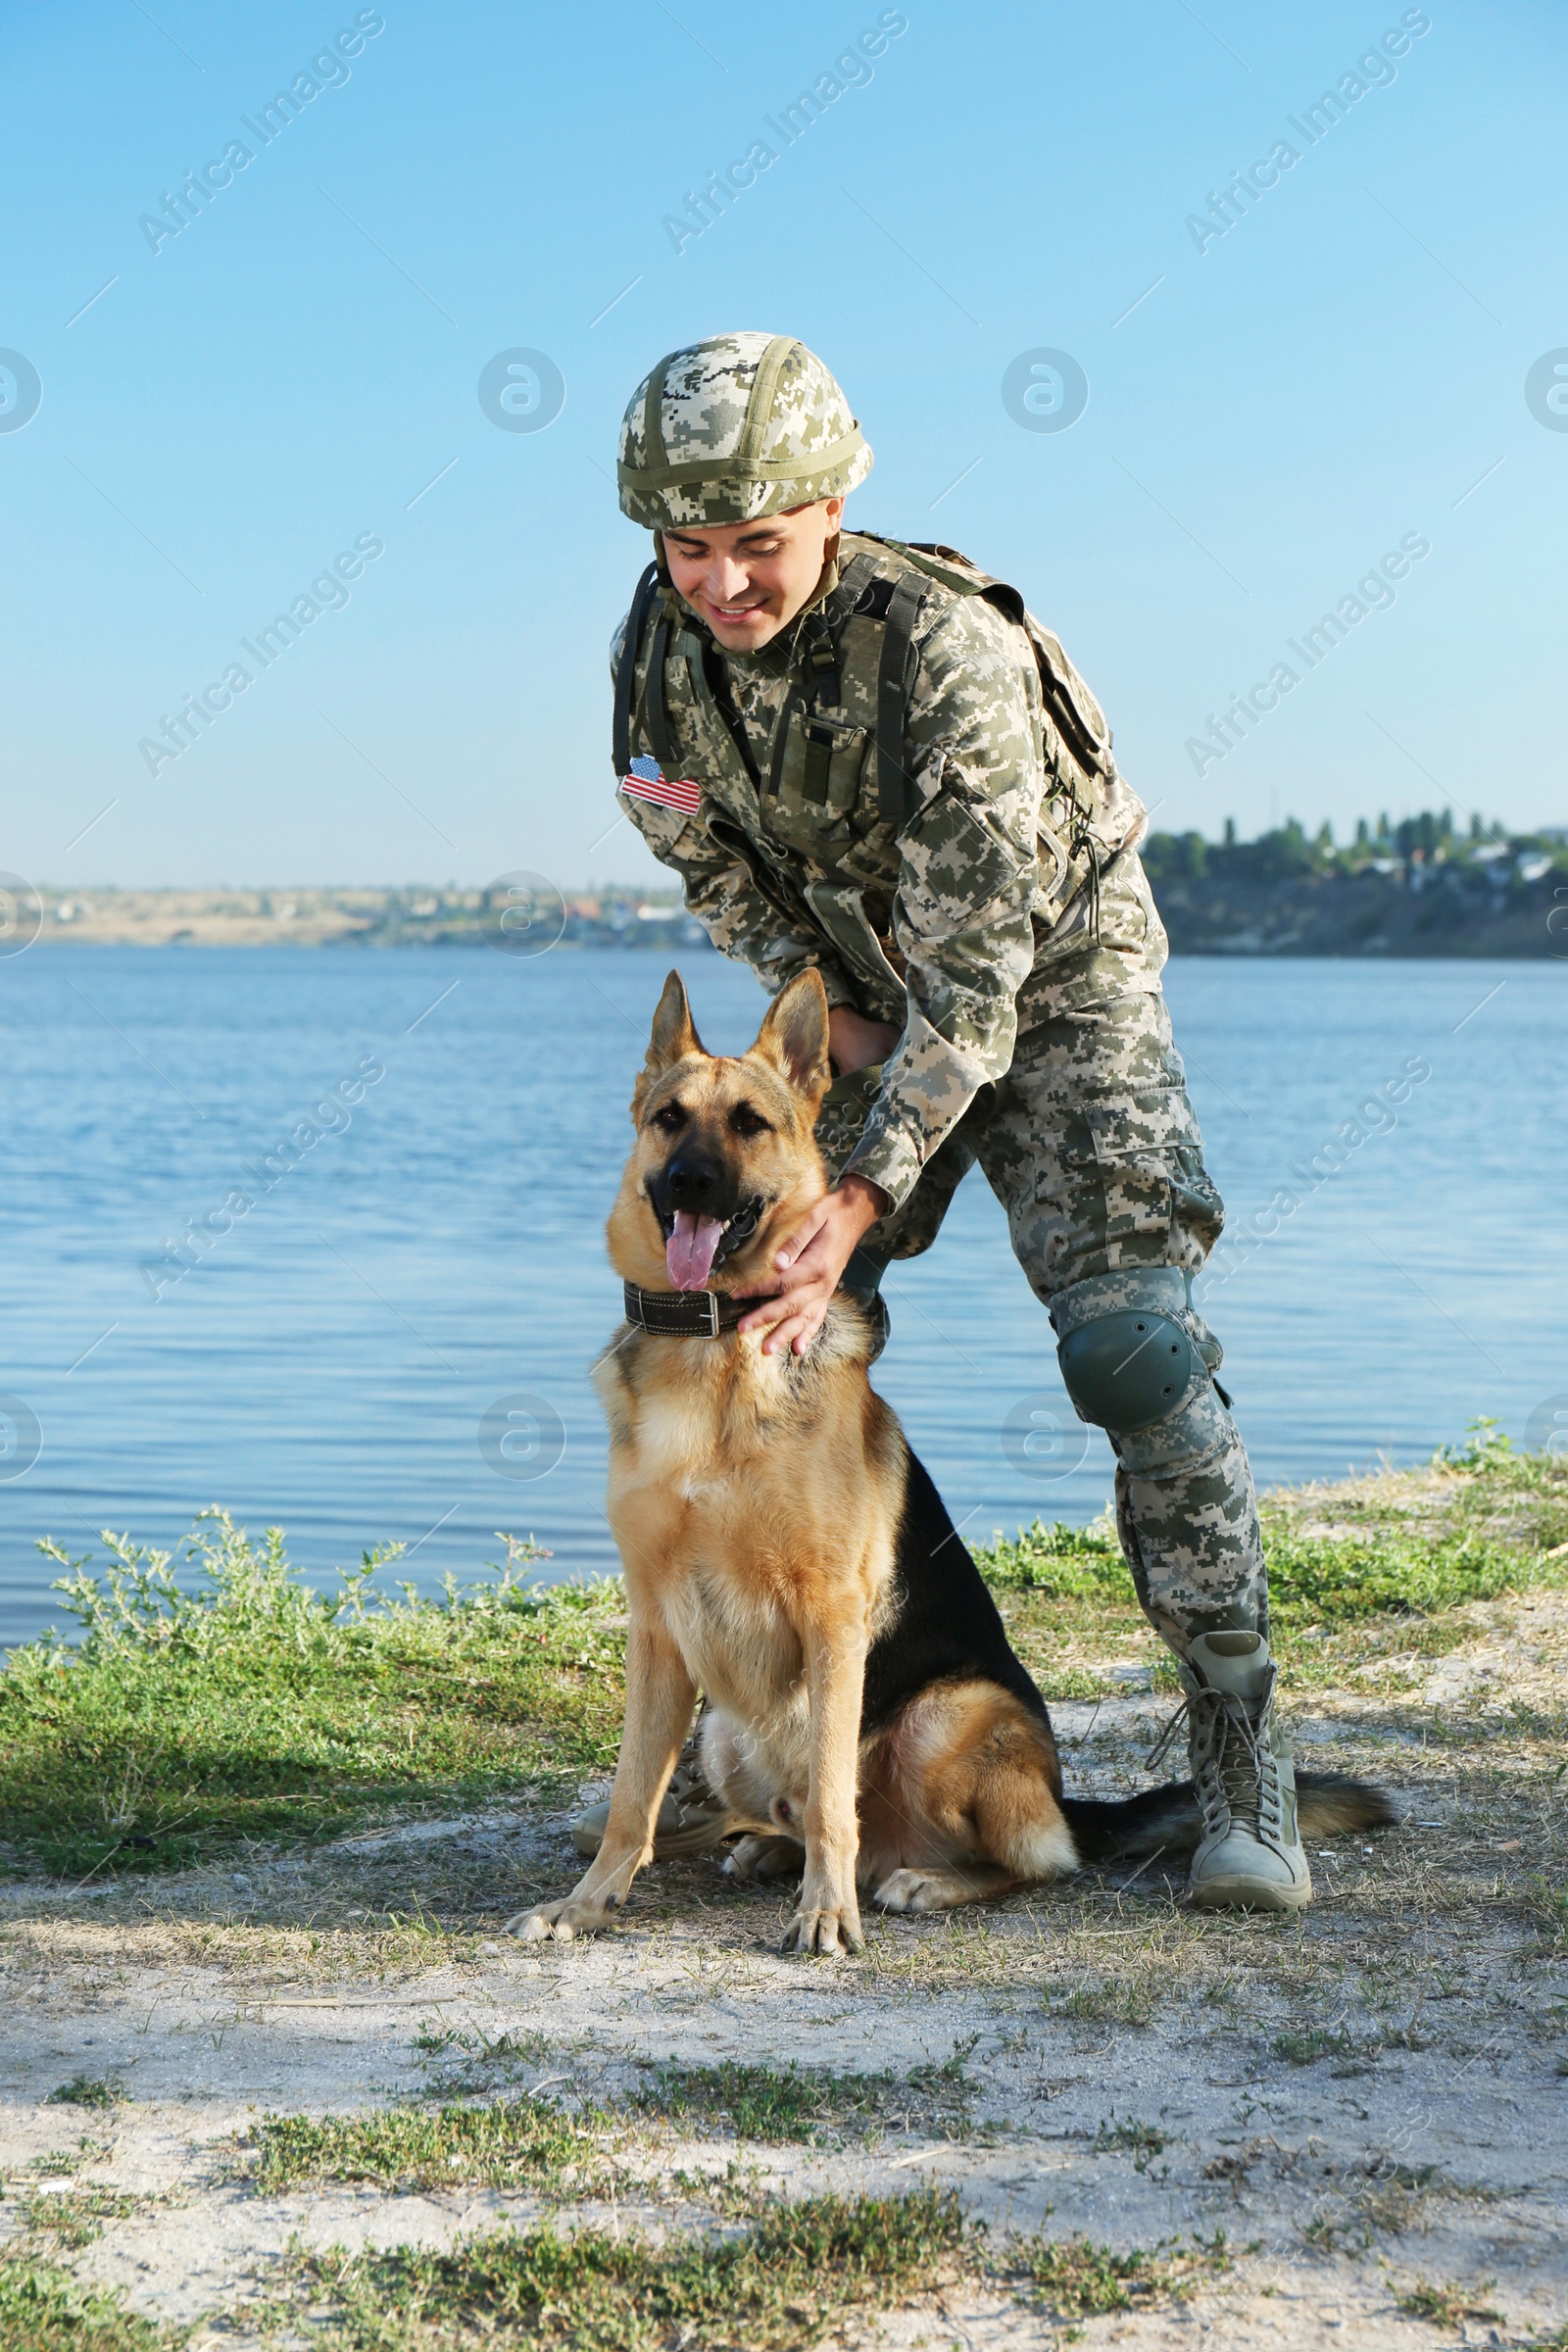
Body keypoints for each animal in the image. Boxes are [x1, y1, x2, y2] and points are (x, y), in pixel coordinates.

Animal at [512, 964, 1382, 1956]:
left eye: (750, 1123)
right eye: (668, 1118)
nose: (689, 1180)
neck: (716, 1340)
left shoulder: (831, 1612)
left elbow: (831, 1806)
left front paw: (825, 1916)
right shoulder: (657, 1625)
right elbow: (632, 1796)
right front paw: (586, 1902)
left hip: (943, 1717)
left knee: (1023, 1859)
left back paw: (917, 1880)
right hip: (727, 1736)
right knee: (801, 1813)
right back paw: (768, 1851)